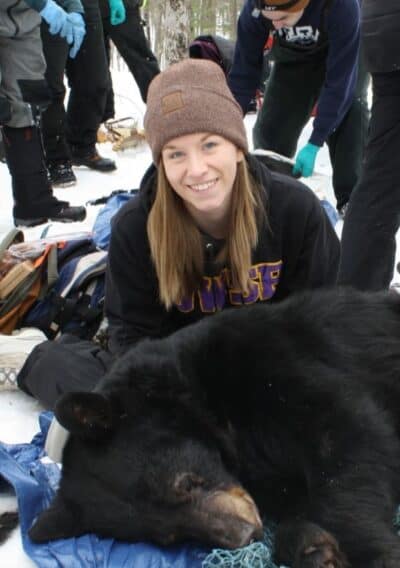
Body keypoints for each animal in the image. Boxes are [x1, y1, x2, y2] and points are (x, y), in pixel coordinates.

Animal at [29, 287, 400, 567]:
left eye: (185, 483)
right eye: (171, 536)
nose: (245, 535)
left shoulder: (271, 363)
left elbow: (348, 434)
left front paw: (373, 554)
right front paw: (315, 549)